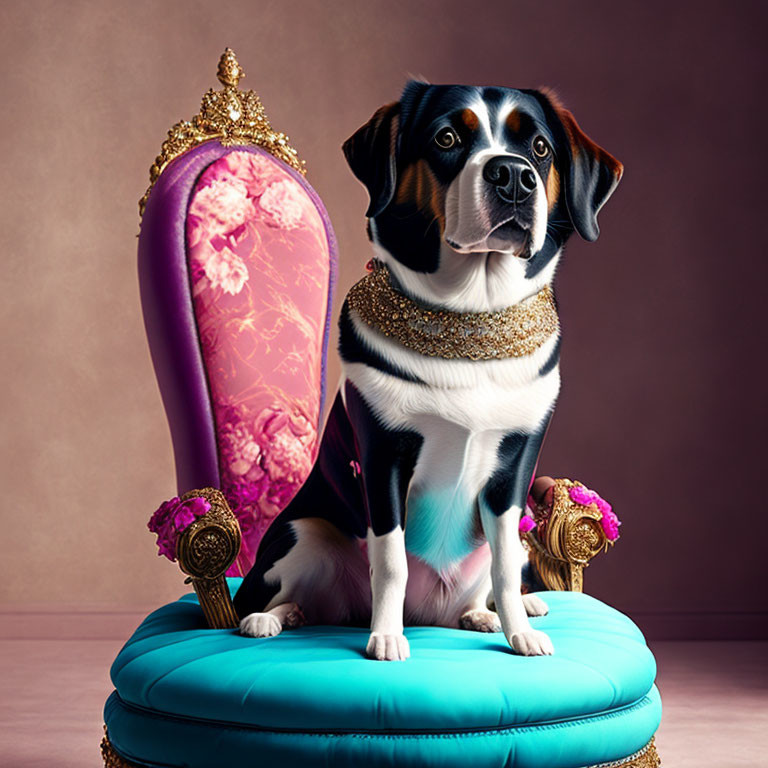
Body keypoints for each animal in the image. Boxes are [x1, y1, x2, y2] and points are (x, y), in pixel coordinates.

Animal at [231, 82, 620, 660]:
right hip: (306, 531)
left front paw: (518, 632)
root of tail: (429, 614)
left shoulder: (515, 466)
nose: (513, 174)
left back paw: (486, 614)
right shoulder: (382, 456)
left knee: (493, 576)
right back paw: (273, 618)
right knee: (291, 593)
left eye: (540, 149)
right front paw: (386, 637)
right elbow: (390, 561)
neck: (471, 322)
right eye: (447, 138)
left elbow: (506, 565)